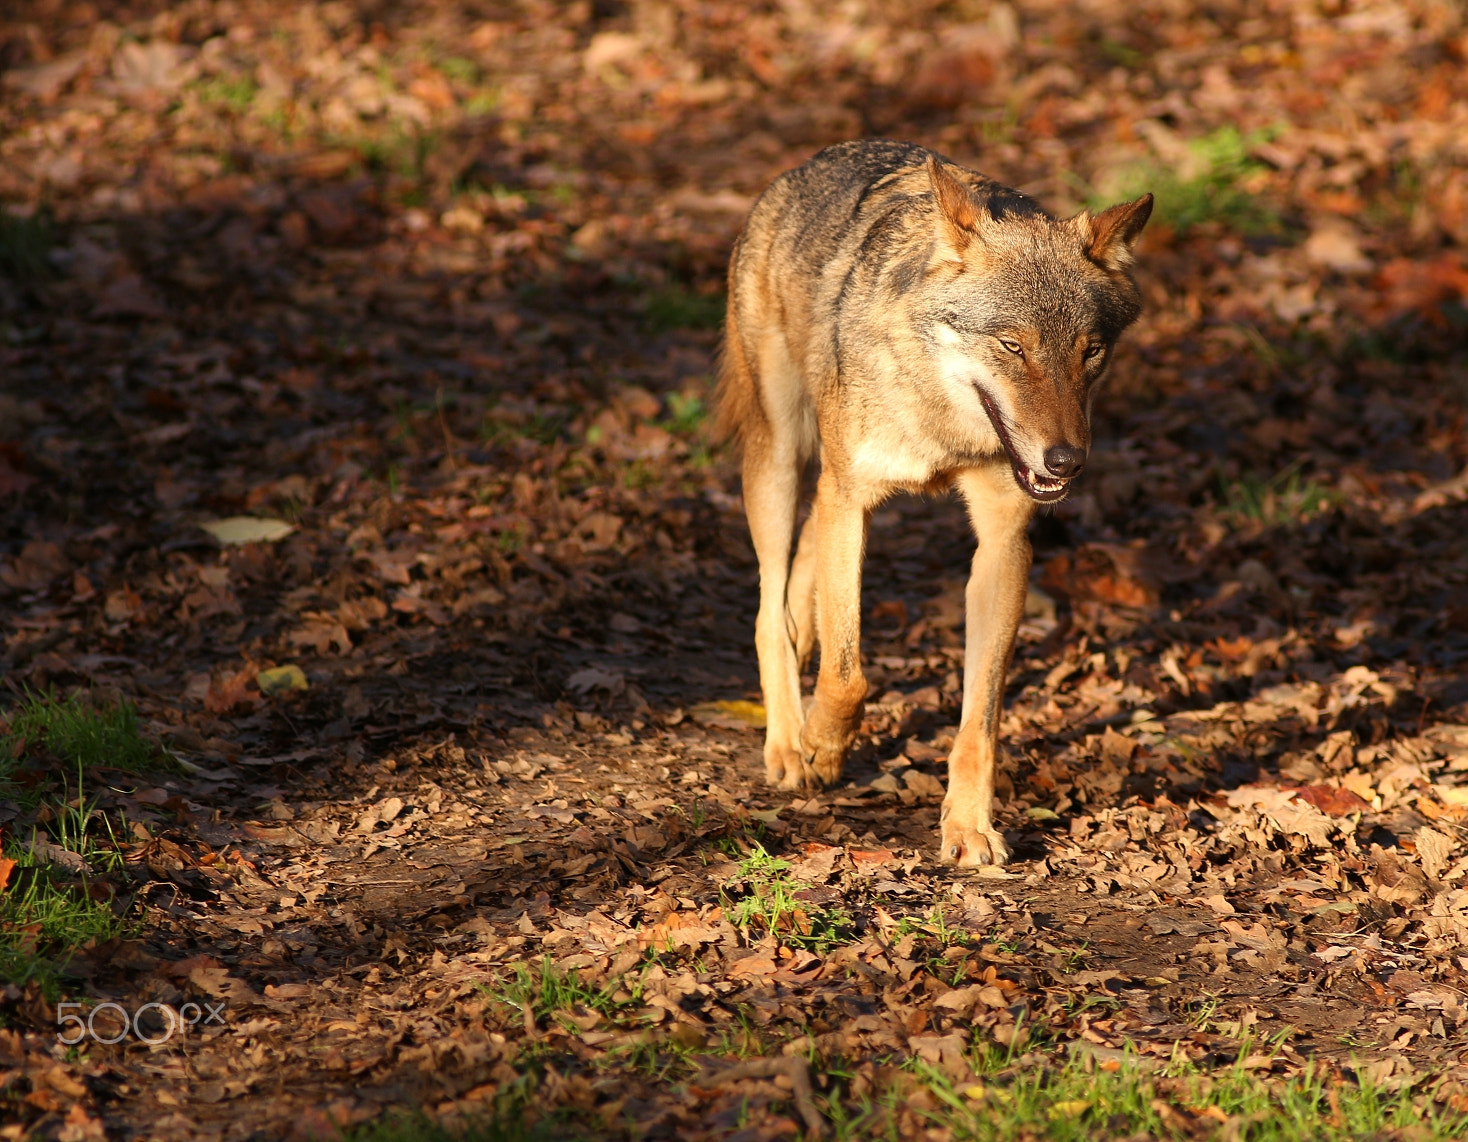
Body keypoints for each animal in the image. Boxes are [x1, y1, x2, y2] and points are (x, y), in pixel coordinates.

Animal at [716, 137, 1150, 863]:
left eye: (1089, 352)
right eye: (1012, 345)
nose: (1066, 461)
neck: (943, 427)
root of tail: (801, 167)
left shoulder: (1003, 542)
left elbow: (980, 720)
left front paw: (969, 827)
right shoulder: (851, 501)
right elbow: (848, 676)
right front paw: (823, 745)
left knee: (798, 579)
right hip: (781, 457)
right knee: (768, 608)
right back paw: (787, 743)